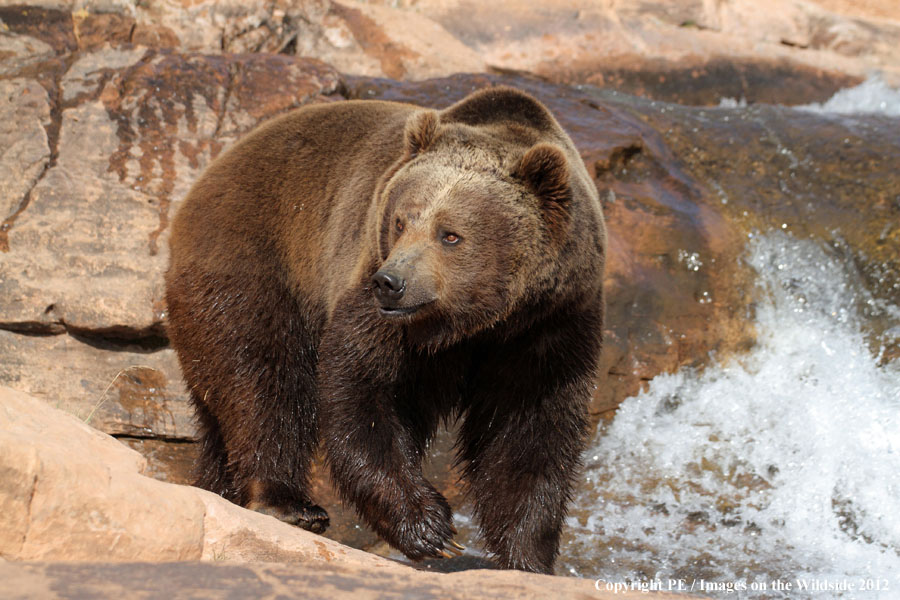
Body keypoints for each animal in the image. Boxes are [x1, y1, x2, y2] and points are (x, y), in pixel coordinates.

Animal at [165, 85, 608, 572]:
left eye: (450, 234)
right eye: (401, 220)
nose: (392, 282)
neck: (478, 324)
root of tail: (209, 173)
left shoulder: (550, 326)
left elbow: (530, 431)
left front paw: (528, 557)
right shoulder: (373, 295)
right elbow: (364, 391)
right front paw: (430, 528)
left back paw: (219, 488)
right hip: (255, 260)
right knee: (261, 378)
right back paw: (288, 503)